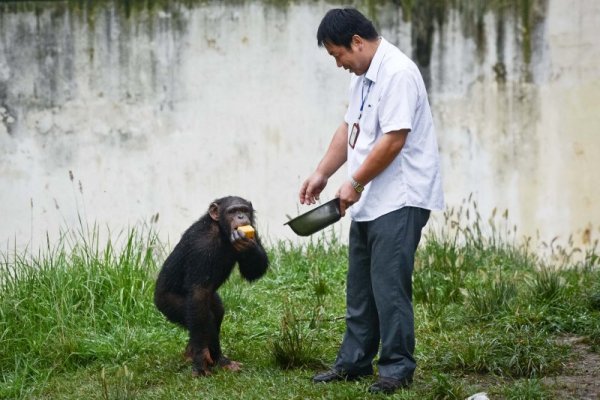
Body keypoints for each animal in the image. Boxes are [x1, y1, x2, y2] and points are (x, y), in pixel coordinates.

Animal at [154, 195, 268, 376]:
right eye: (232, 211)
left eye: (244, 210)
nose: (241, 217)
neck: (220, 230)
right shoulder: (202, 246)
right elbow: (198, 292)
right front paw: (200, 360)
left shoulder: (253, 230)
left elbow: (254, 271)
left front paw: (247, 245)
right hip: (168, 303)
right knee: (204, 316)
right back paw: (202, 355)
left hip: (212, 299)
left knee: (216, 313)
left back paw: (216, 359)